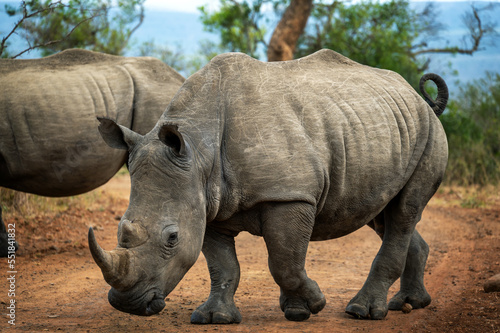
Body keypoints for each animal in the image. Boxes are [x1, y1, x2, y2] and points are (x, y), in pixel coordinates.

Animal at [89, 49, 450, 322]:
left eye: (172, 238)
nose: (127, 304)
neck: (199, 148)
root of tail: (418, 98)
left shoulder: (289, 195)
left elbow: (284, 262)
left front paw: (313, 304)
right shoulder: (207, 203)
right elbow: (222, 265)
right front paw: (216, 317)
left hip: (429, 133)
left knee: (404, 212)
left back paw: (363, 311)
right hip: (383, 130)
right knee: (383, 214)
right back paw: (410, 303)